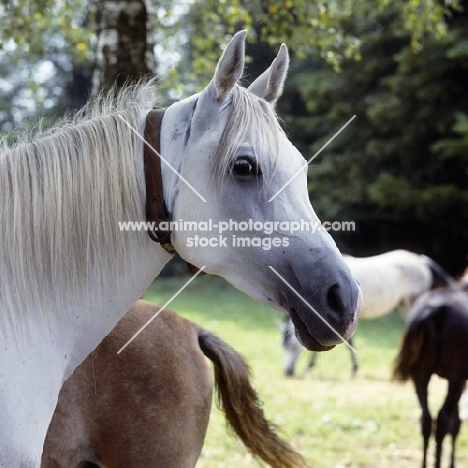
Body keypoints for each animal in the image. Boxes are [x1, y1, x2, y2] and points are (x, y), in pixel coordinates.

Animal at [394, 284, 468, 466]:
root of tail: (437, 308)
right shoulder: (459, 379)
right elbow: (456, 423)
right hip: (456, 376)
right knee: (443, 421)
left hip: (420, 372)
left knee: (426, 420)